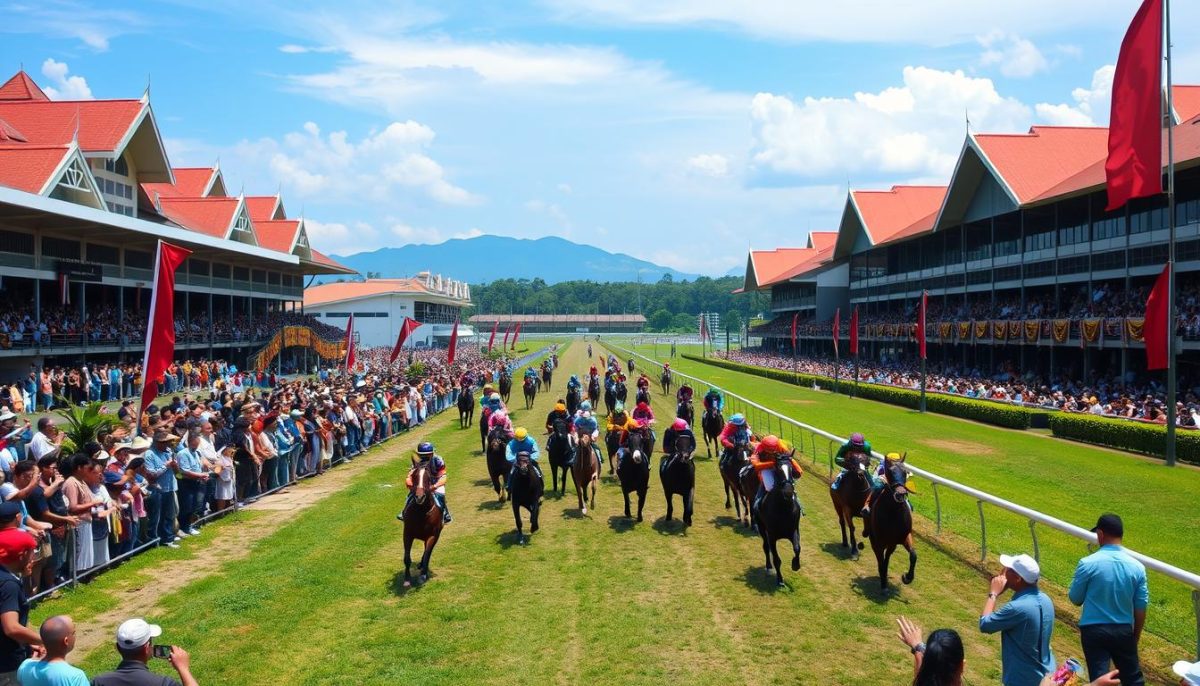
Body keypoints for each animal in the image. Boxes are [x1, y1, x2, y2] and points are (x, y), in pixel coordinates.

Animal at [400, 458, 444, 587]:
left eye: (428, 477)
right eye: (414, 475)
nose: (419, 497)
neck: (421, 512)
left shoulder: (432, 536)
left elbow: (427, 555)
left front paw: (423, 576)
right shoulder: (407, 534)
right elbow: (407, 558)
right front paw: (407, 579)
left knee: (427, 553)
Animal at [873, 455, 916, 590]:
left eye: (905, 472)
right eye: (890, 472)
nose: (901, 494)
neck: (893, 513)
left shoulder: (903, 536)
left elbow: (913, 555)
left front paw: (907, 577)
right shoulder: (879, 540)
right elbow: (881, 560)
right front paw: (883, 584)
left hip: (892, 543)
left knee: (887, 556)